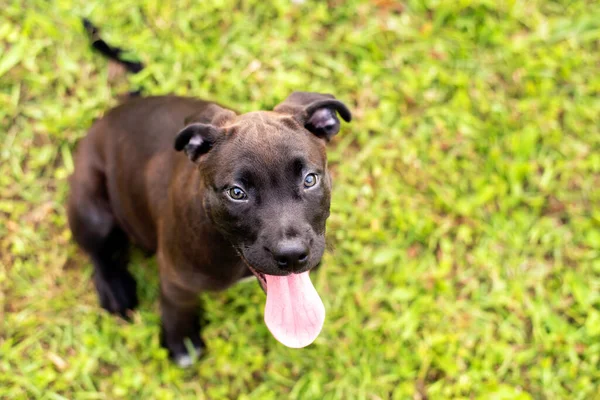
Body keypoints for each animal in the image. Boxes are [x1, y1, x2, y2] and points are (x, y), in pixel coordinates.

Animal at [67, 21, 350, 368]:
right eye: (237, 193)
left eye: (310, 179)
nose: (293, 255)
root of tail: (116, 110)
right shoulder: (176, 279)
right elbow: (178, 308)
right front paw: (182, 343)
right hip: (92, 208)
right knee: (99, 252)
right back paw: (115, 289)